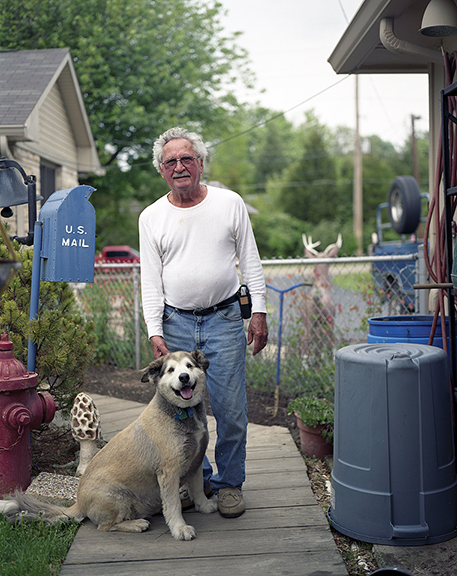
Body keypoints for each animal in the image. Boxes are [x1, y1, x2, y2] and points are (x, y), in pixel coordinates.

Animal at [0, 352, 217, 540]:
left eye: (189, 366)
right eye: (171, 370)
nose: (184, 377)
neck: (183, 412)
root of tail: (79, 502)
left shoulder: (196, 461)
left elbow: (197, 489)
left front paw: (204, 506)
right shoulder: (169, 472)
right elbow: (173, 505)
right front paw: (180, 529)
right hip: (118, 498)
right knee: (105, 526)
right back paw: (136, 524)